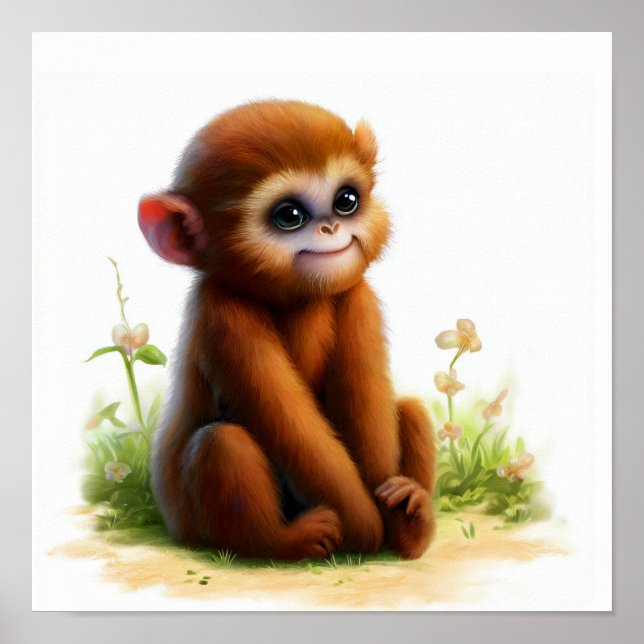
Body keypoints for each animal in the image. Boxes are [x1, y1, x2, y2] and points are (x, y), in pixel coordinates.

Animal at [138, 100, 436, 560]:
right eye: (289, 216)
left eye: (346, 200)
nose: (332, 227)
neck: (296, 301)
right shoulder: (222, 315)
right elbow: (287, 422)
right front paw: (366, 529)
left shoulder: (357, 294)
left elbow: (366, 404)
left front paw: (398, 520)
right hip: (185, 517)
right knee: (222, 443)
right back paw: (284, 541)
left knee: (410, 408)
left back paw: (416, 521)